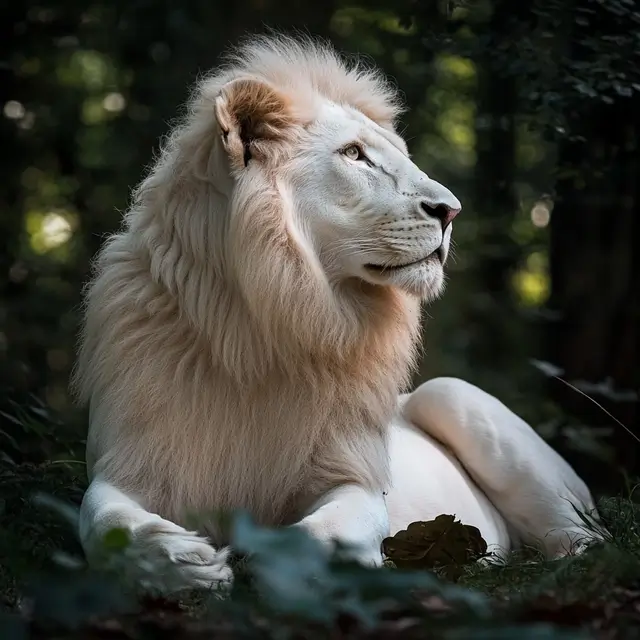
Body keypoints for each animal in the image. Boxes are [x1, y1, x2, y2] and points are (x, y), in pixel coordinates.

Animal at [72, 33, 604, 592]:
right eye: (354, 155)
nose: (452, 210)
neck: (257, 329)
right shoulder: (129, 457)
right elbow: (101, 518)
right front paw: (182, 559)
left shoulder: (354, 477)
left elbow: (323, 534)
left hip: (456, 398)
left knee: (585, 539)